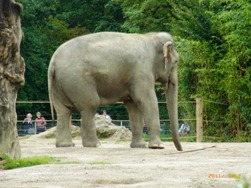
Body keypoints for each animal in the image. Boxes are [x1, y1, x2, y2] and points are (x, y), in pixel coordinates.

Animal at [48, 31, 182, 151]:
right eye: (176, 61)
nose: (180, 149)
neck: (150, 37)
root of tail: (53, 62)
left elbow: (133, 106)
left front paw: (139, 146)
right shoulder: (141, 71)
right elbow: (147, 100)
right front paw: (157, 146)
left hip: (59, 84)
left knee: (64, 111)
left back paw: (65, 145)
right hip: (78, 81)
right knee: (90, 106)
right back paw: (95, 145)